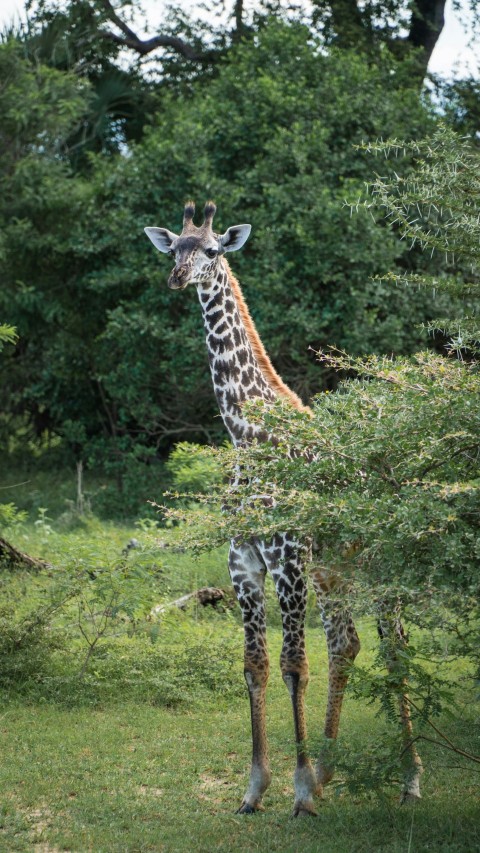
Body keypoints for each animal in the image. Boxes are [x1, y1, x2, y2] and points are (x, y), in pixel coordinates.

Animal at [144, 200, 423, 815]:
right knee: (347, 643)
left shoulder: (287, 558)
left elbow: (296, 667)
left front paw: (298, 793)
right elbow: (256, 666)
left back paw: (409, 778)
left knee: (394, 648)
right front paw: (257, 788)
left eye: (212, 250)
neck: (247, 435)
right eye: (175, 247)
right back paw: (328, 768)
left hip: (379, 567)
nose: (177, 277)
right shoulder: (244, 563)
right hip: (335, 570)